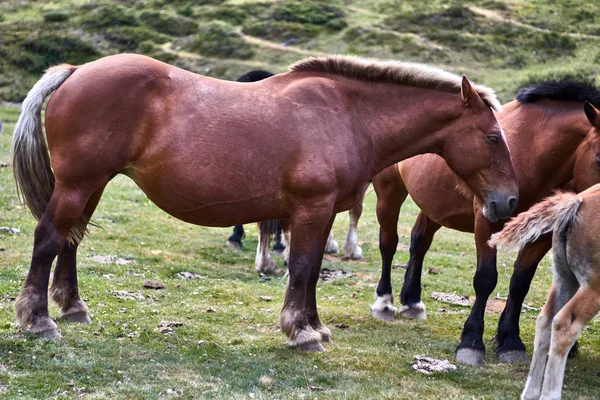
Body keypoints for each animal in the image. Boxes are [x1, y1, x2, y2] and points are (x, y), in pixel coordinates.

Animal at [9, 54, 516, 350]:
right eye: (493, 136)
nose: (509, 201)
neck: (349, 115)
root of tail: (77, 71)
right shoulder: (312, 208)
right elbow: (303, 267)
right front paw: (301, 331)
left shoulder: (323, 213)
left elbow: (310, 270)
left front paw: (314, 326)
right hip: (78, 185)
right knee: (48, 238)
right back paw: (38, 320)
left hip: (89, 187)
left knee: (70, 241)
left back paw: (72, 307)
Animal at [372, 81, 600, 366]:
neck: (532, 150)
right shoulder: (487, 221)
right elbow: (485, 279)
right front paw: (471, 343)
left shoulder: (542, 235)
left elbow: (520, 282)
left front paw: (510, 341)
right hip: (389, 193)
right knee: (388, 244)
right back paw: (384, 303)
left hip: (434, 206)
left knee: (419, 243)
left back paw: (412, 300)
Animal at [490, 181, 600, 400]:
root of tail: (577, 200)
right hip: (593, 286)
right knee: (564, 326)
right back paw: (550, 394)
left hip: (565, 279)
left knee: (545, 321)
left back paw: (530, 393)